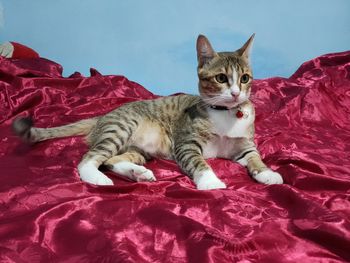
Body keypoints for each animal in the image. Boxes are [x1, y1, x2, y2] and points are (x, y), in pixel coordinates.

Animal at [12, 34, 284, 190]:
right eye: (221, 78)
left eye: (245, 78)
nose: (237, 93)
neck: (226, 115)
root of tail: (102, 117)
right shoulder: (186, 144)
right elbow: (200, 162)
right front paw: (211, 181)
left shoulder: (244, 146)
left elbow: (255, 158)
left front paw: (267, 173)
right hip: (121, 128)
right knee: (90, 158)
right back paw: (97, 178)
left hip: (139, 150)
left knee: (111, 160)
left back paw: (137, 173)